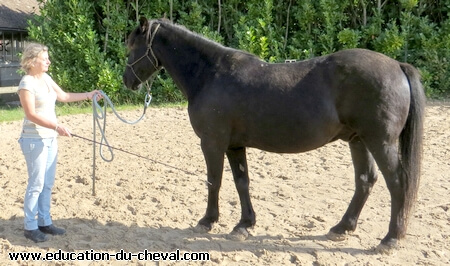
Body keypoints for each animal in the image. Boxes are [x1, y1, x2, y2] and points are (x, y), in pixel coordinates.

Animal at [123, 17, 426, 250]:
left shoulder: (212, 143)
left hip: (380, 142)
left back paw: (390, 239)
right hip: (358, 140)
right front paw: (244, 225)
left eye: (133, 46)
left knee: (397, 183)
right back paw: (342, 228)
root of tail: (397, 66)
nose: (127, 80)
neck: (210, 75)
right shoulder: (234, 146)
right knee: (365, 180)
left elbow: (214, 181)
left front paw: (207, 221)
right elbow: (241, 182)